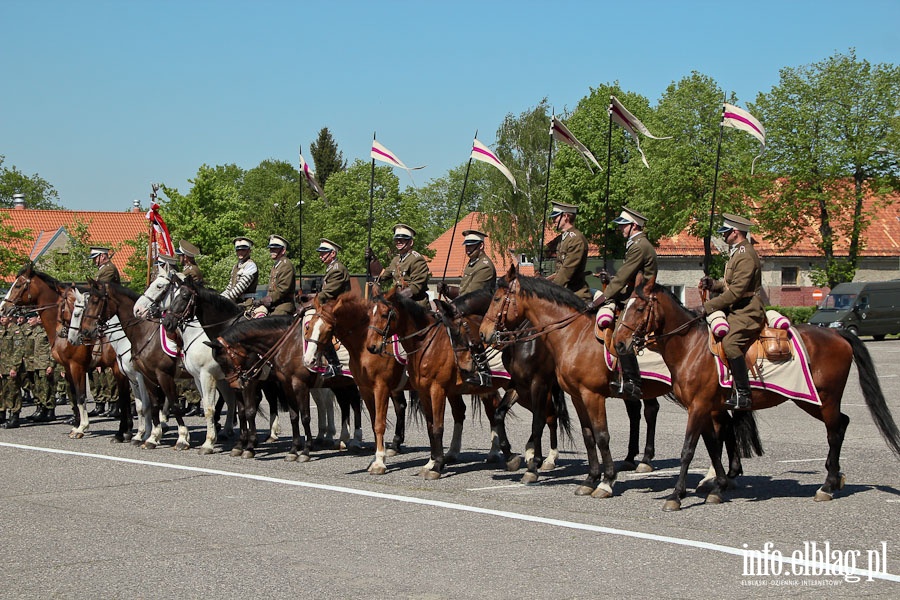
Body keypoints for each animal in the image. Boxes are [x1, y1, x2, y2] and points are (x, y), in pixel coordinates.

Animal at [0, 264, 132, 438]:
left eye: (18, 285)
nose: (3, 308)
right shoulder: (67, 368)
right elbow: (74, 396)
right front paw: (76, 424)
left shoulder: (77, 366)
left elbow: (81, 395)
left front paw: (82, 427)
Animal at [612, 278, 900, 508]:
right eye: (624, 307)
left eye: (639, 308)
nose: (619, 343)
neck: (691, 347)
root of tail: (837, 334)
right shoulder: (707, 408)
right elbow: (713, 447)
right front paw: (718, 486)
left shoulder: (699, 406)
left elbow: (688, 450)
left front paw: (677, 495)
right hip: (813, 402)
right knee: (842, 423)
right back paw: (835, 478)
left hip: (824, 399)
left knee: (834, 433)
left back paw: (827, 485)